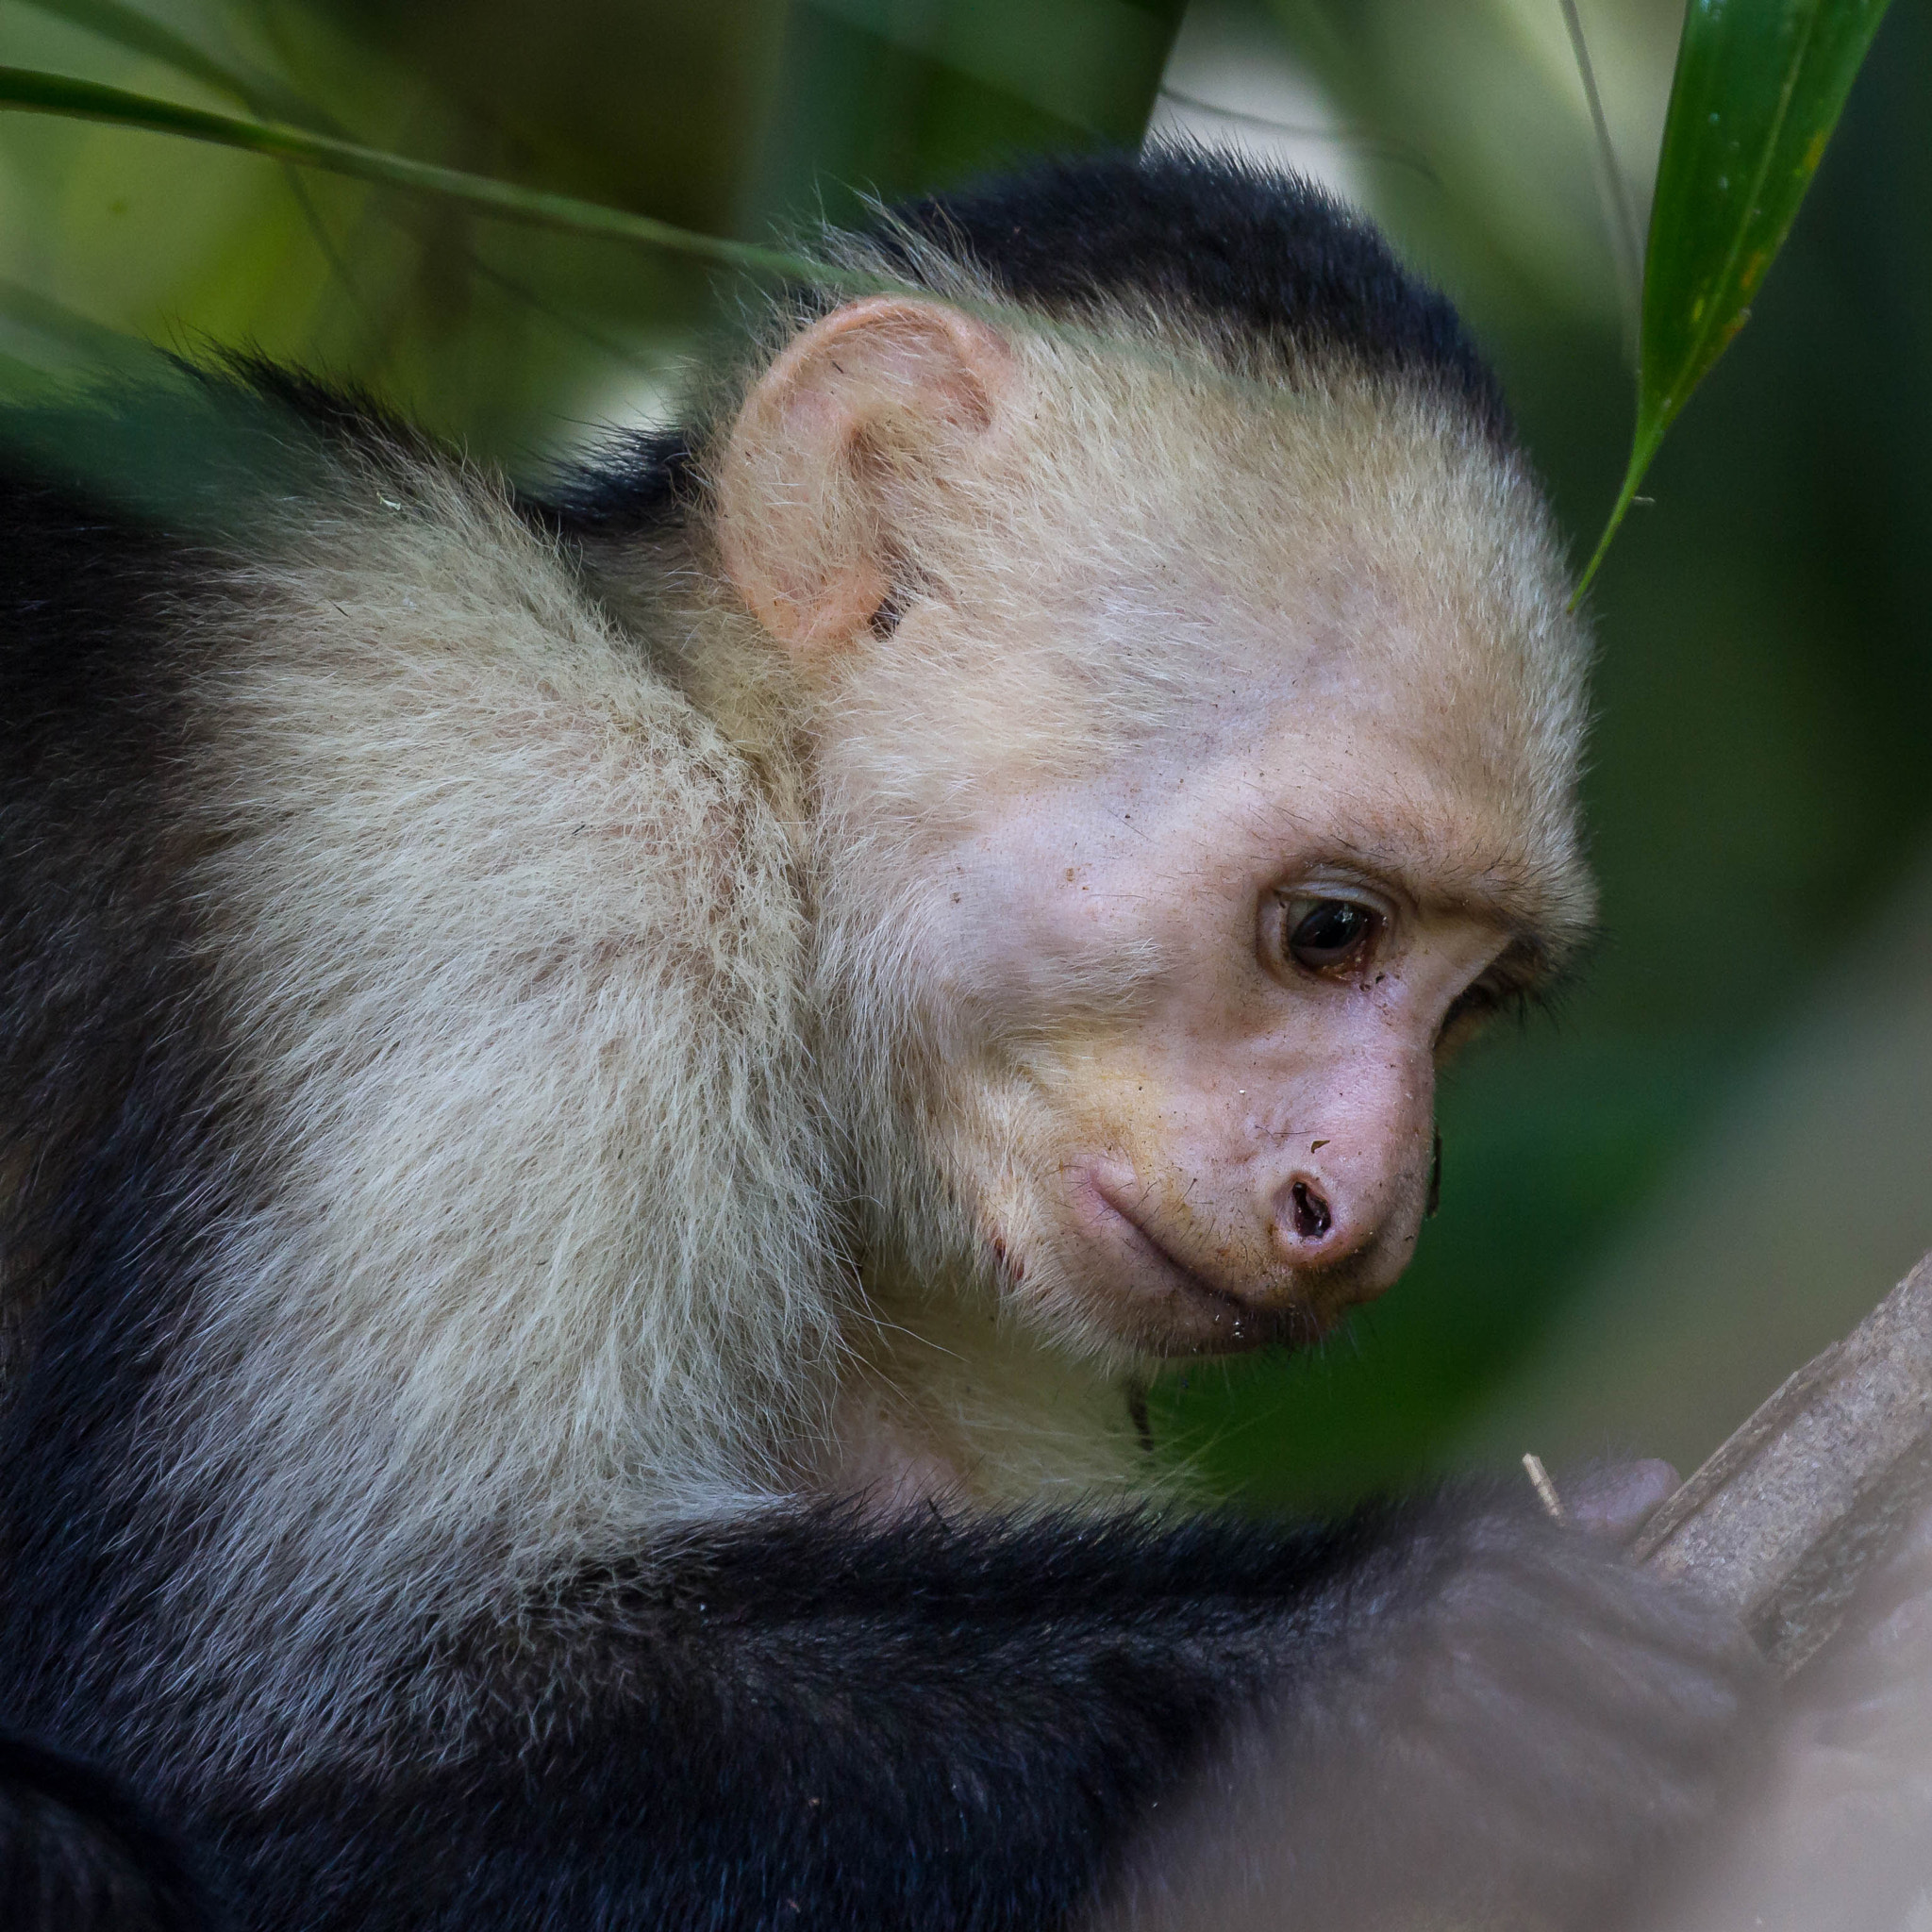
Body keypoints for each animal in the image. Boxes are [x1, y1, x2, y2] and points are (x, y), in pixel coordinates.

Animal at [0, 154, 1769, 1932]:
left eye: (1470, 1004)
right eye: (1330, 930)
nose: (1368, 1214)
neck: (729, 759)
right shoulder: (525, 827)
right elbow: (287, 1709)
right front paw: (1392, 1668)